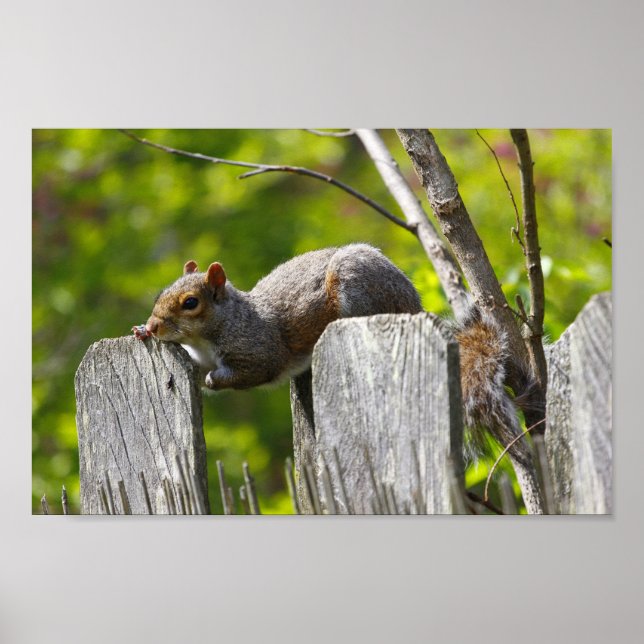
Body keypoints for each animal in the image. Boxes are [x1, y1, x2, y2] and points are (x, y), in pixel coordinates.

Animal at [133, 243, 537, 473]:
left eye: (190, 303)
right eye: (163, 293)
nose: (154, 325)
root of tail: (414, 307)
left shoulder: (259, 350)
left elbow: (249, 372)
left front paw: (213, 380)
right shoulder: (200, 354)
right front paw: (140, 332)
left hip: (355, 288)